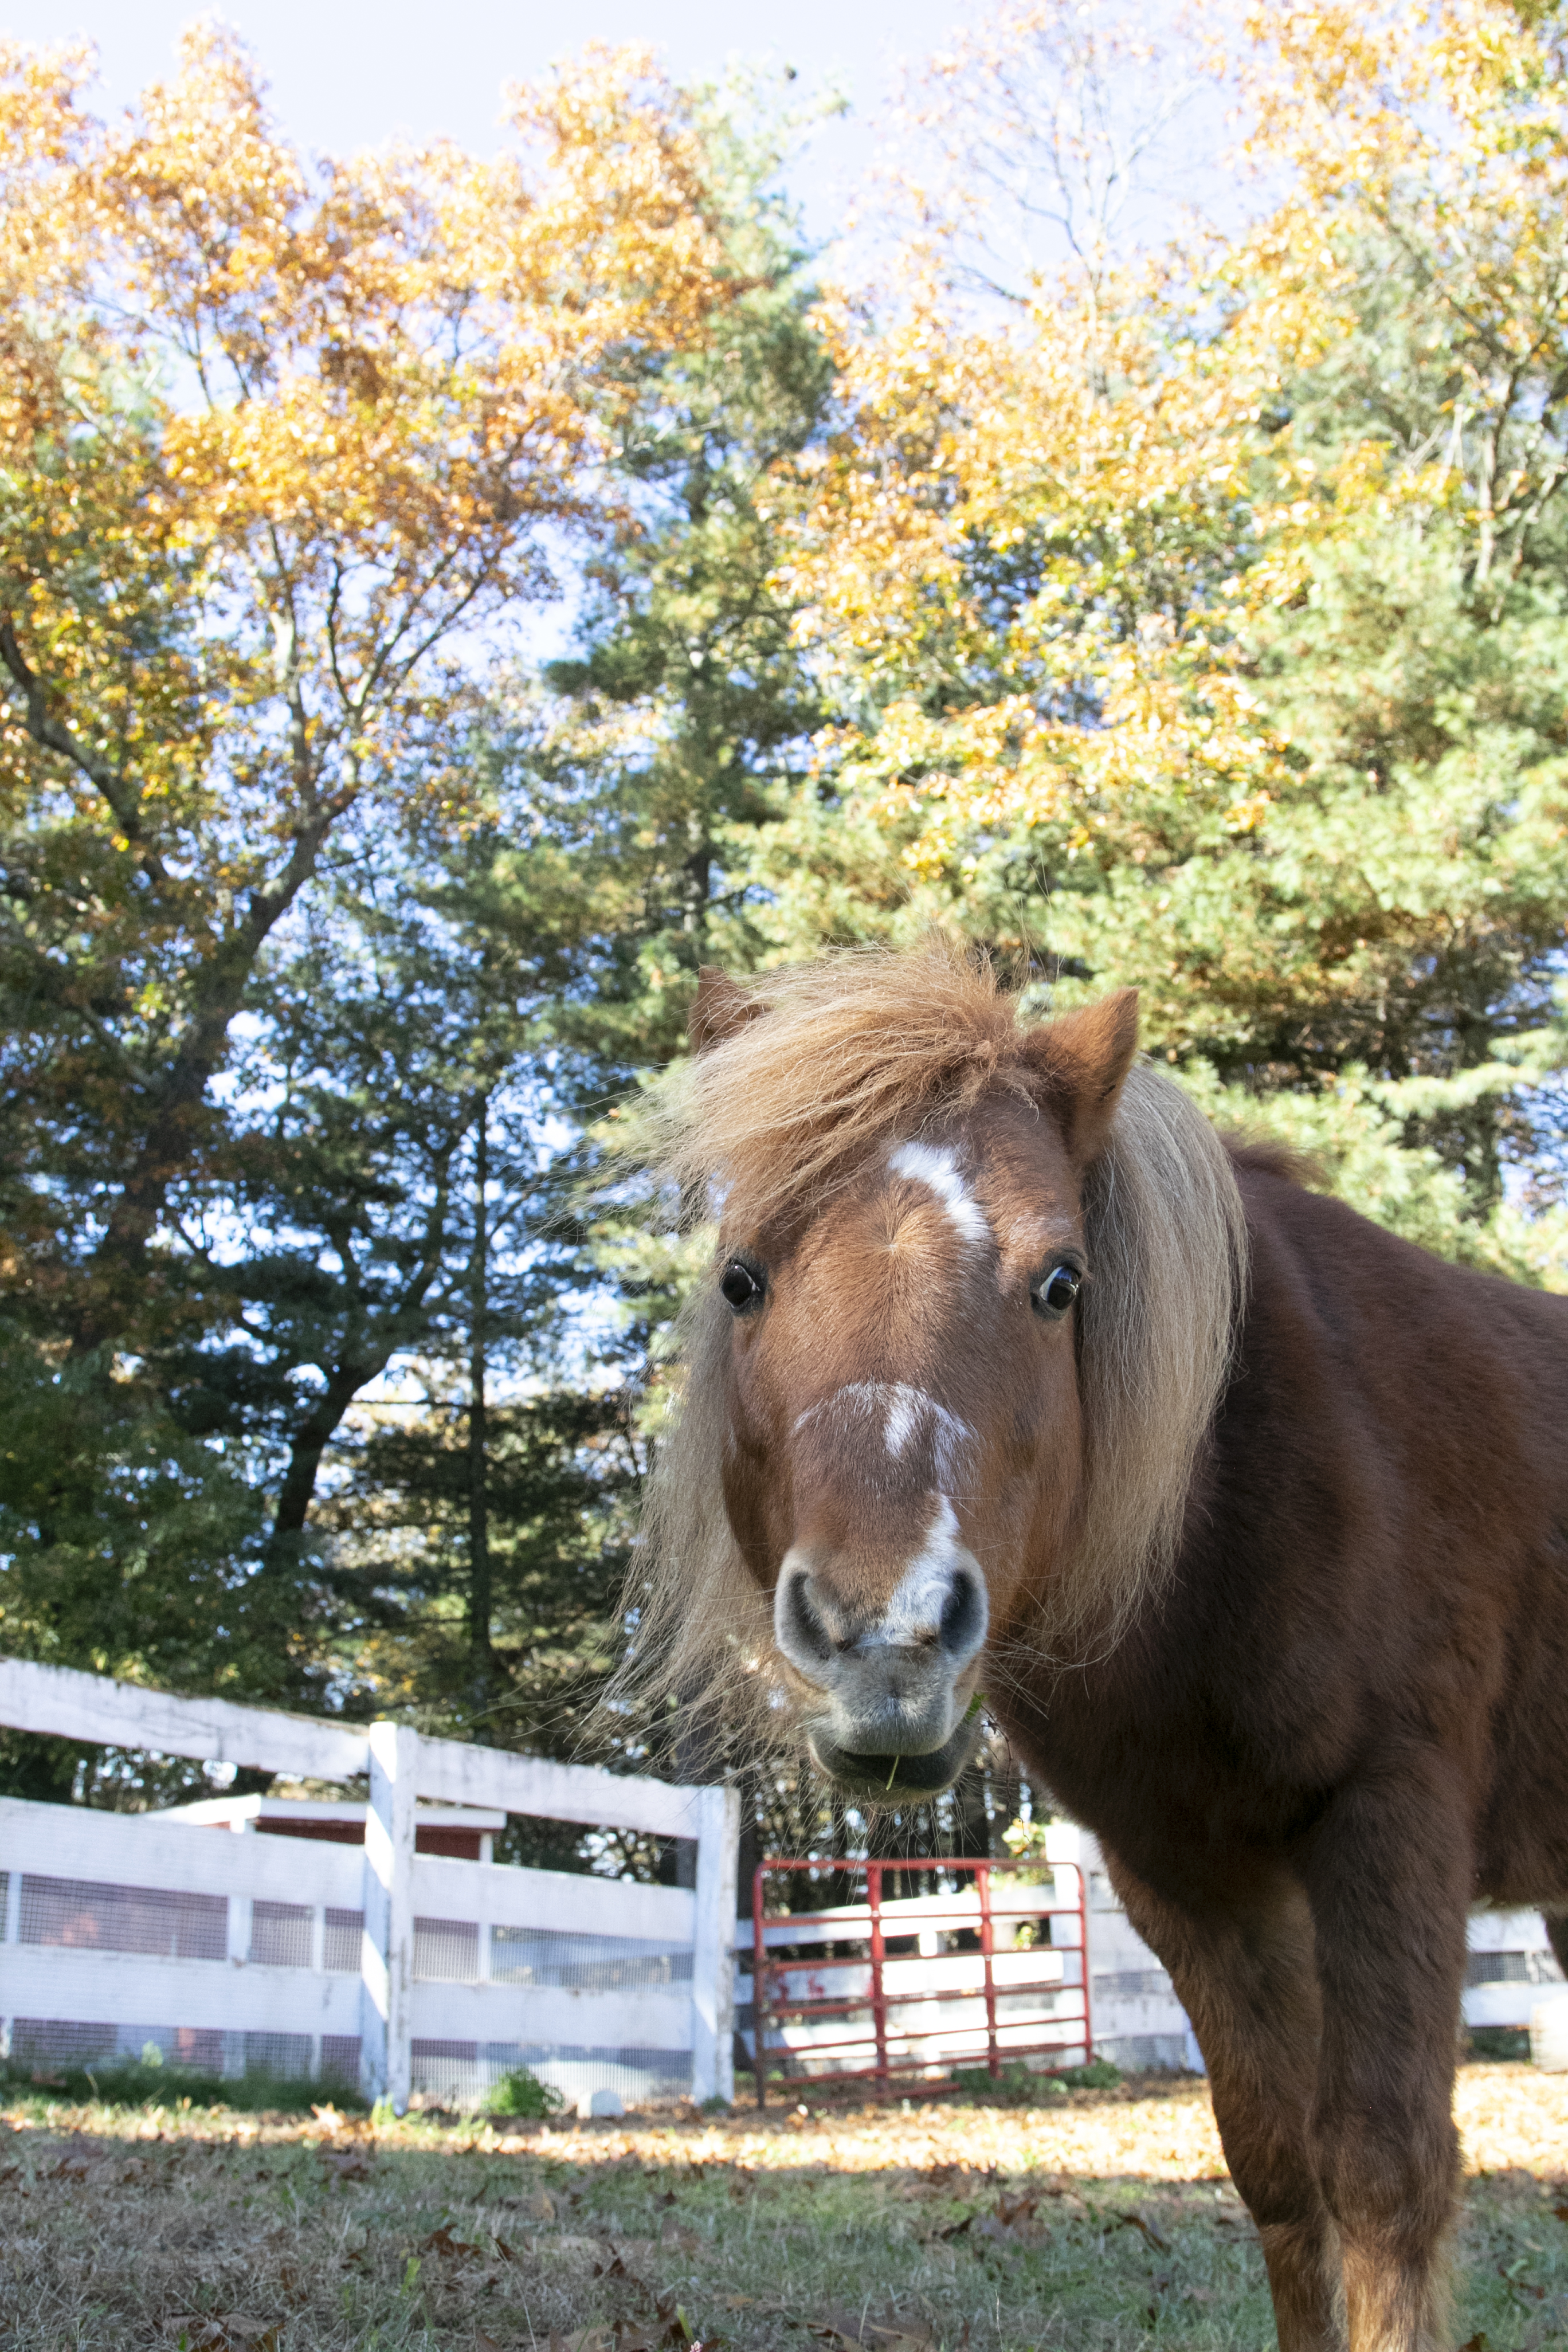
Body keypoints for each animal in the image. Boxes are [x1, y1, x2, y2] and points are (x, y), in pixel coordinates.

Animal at [630, 940, 1568, 2352]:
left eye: (1061, 1282)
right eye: (741, 1277)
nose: (886, 1638)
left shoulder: (1390, 1821)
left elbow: (1384, 2173)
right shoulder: (1186, 1875)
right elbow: (1279, 2171)